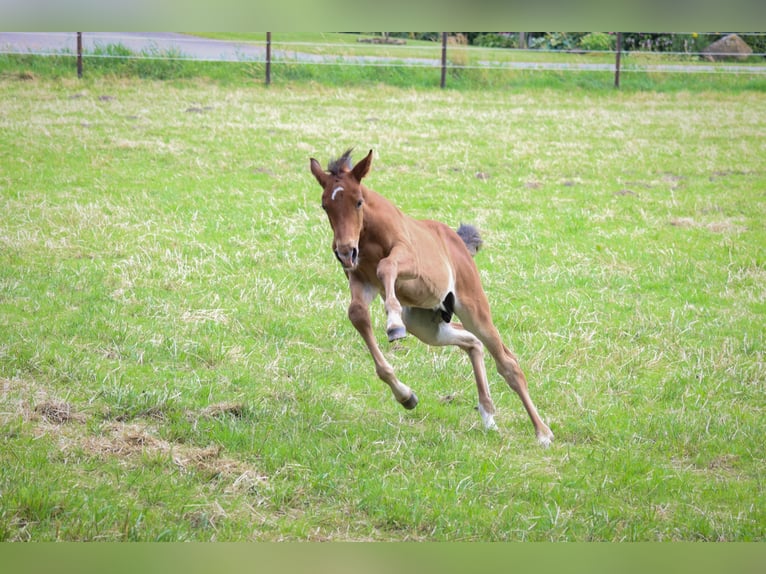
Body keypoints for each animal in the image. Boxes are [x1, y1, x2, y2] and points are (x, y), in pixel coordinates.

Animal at [308, 150, 556, 450]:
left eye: (358, 201)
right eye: (325, 206)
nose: (344, 252)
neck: (367, 238)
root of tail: (458, 242)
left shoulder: (409, 262)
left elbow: (386, 267)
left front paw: (393, 324)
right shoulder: (360, 281)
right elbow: (356, 313)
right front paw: (406, 396)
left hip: (473, 308)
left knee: (507, 363)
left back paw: (542, 432)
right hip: (426, 325)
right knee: (472, 342)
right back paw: (488, 416)